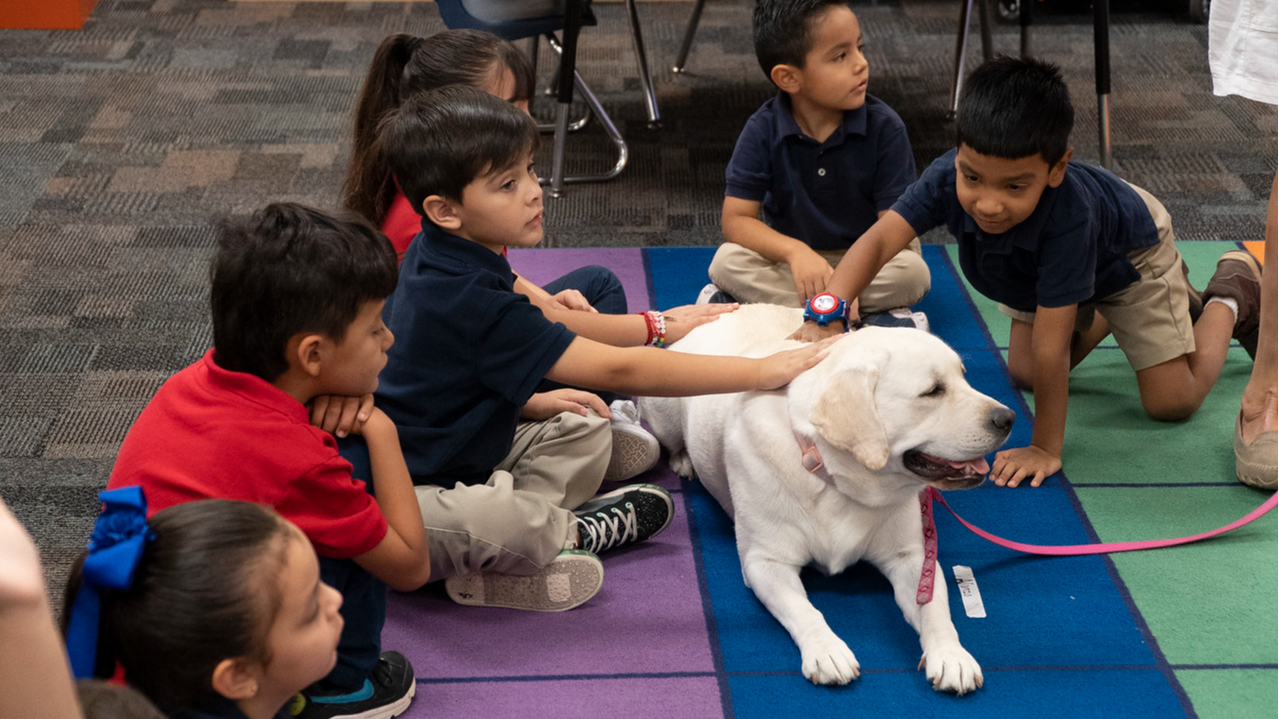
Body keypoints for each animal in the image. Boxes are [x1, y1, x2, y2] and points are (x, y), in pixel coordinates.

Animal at [644, 301, 1012, 690]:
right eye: (932, 391)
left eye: (964, 375)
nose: (1009, 418)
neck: (837, 478)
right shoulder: (765, 562)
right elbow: (804, 609)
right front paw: (827, 650)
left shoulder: (912, 556)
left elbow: (934, 608)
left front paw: (951, 655)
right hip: (664, 407)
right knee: (673, 440)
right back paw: (684, 460)